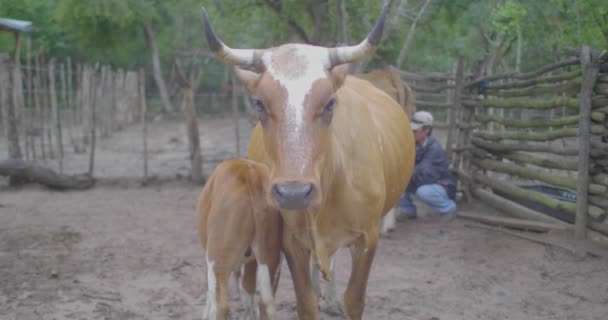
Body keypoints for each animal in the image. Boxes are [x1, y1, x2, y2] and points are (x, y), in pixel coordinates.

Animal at [198, 159, 284, 320]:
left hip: (216, 258)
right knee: (266, 303)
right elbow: (248, 291)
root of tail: (250, 174)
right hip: (271, 258)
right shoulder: (251, 262)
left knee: (222, 306)